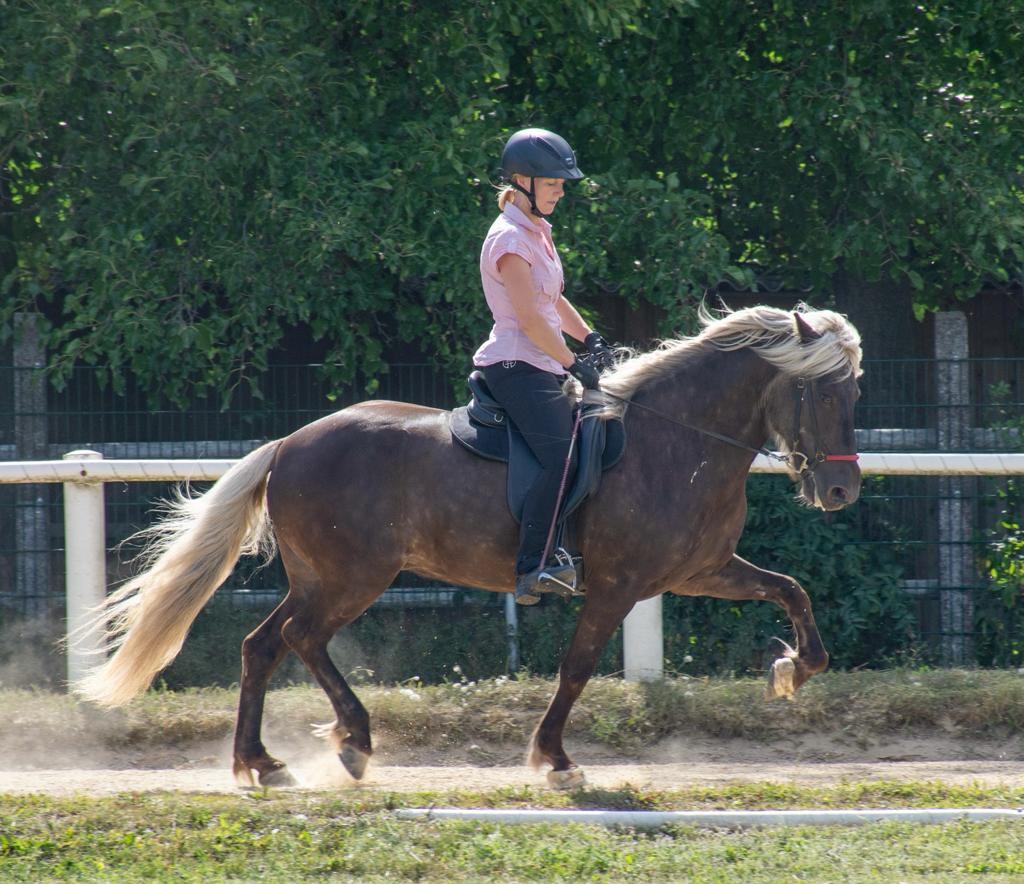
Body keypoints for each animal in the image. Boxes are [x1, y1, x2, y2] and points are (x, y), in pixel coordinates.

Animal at [81, 303, 864, 786]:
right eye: (825, 394)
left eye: (853, 392)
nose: (841, 492)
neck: (675, 441)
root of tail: (288, 444)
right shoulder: (616, 587)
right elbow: (575, 670)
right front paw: (553, 758)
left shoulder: (701, 570)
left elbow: (792, 590)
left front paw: (792, 669)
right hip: (349, 579)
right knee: (299, 639)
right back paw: (350, 741)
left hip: (320, 577)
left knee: (263, 645)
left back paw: (265, 763)